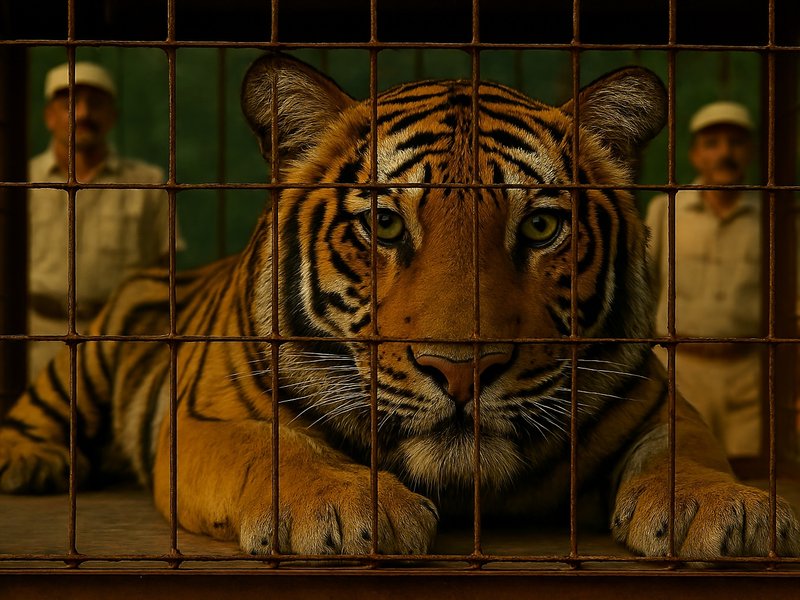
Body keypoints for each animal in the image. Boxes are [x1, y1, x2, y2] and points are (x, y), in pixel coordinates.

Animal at [1, 52, 798, 559]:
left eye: (541, 226)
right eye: (385, 225)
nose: (463, 371)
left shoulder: (655, 399)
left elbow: (685, 451)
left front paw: (728, 509)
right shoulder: (211, 416)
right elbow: (276, 447)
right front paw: (342, 506)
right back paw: (25, 462)